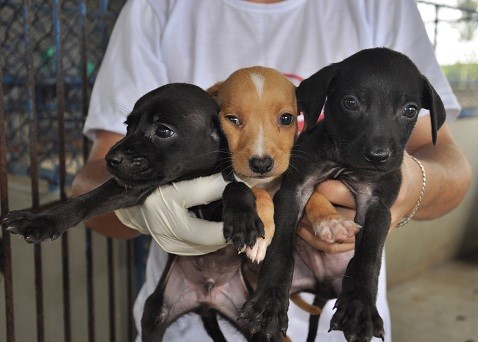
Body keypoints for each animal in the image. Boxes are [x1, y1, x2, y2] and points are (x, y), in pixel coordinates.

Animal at [241, 48, 446, 342]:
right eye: (350, 103)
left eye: (410, 110)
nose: (378, 157)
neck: (344, 163)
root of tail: (321, 286)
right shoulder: (294, 190)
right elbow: (279, 249)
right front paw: (268, 304)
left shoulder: (377, 204)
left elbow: (368, 257)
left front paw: (359, 309)